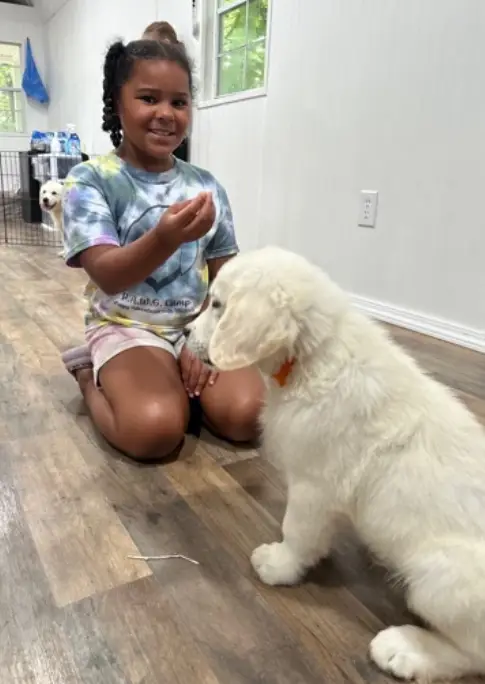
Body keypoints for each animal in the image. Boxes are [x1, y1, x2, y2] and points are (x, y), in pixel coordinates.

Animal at [186, 244, 485, 680]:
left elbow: (296, 530)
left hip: (439, 579)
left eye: (219, 305)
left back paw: (405, 649)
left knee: (474, 652)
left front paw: (280, 564)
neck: (314, 355)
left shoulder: (314, 484)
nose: (186, 335)